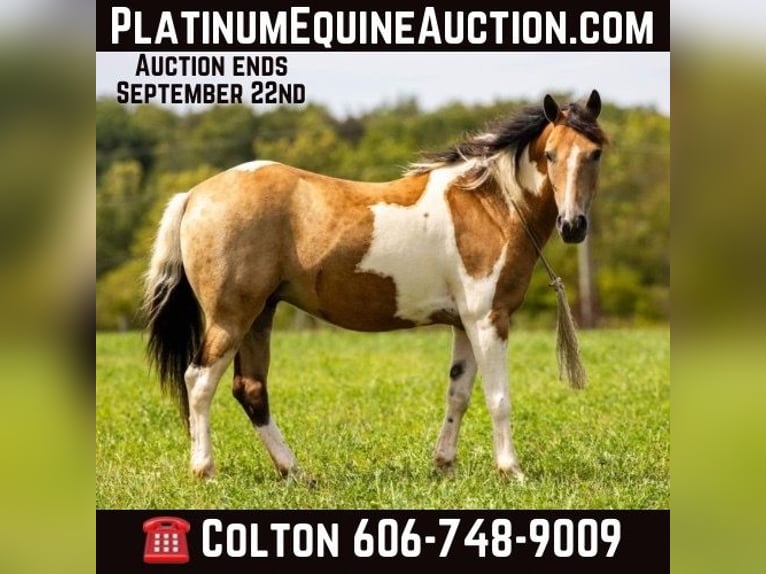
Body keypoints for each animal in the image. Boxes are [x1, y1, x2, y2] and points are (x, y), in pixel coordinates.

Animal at [143, 90, 607, 482]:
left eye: (595, 153)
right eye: (550, 154)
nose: (573, 226)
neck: (488, 204)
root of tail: (195, 195)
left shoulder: (465, 324)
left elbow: (458, 394)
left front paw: (444, 466)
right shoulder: (489, 319)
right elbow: (498, 397)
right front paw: (511, 471)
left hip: (260, 315)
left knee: (251, 390)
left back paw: (296, 473)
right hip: (230, 318)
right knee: (200, 381)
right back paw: (206, 471)